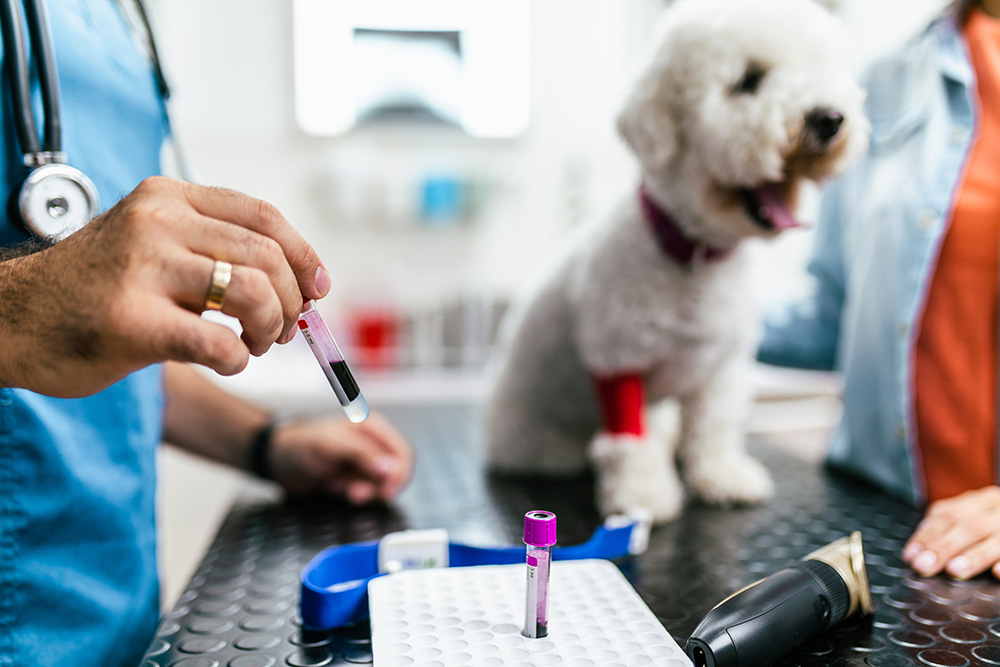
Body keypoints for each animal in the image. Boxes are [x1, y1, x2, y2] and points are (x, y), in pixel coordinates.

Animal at [482, 0, 868, 524]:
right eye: (748, 80)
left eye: (818, 70)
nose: (828, 117)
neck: (695, 258)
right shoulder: (619, 362)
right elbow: (631, 442)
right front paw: (642, 494)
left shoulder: (721, 366)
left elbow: (714, 426)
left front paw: (723, 476)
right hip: (529, 432)